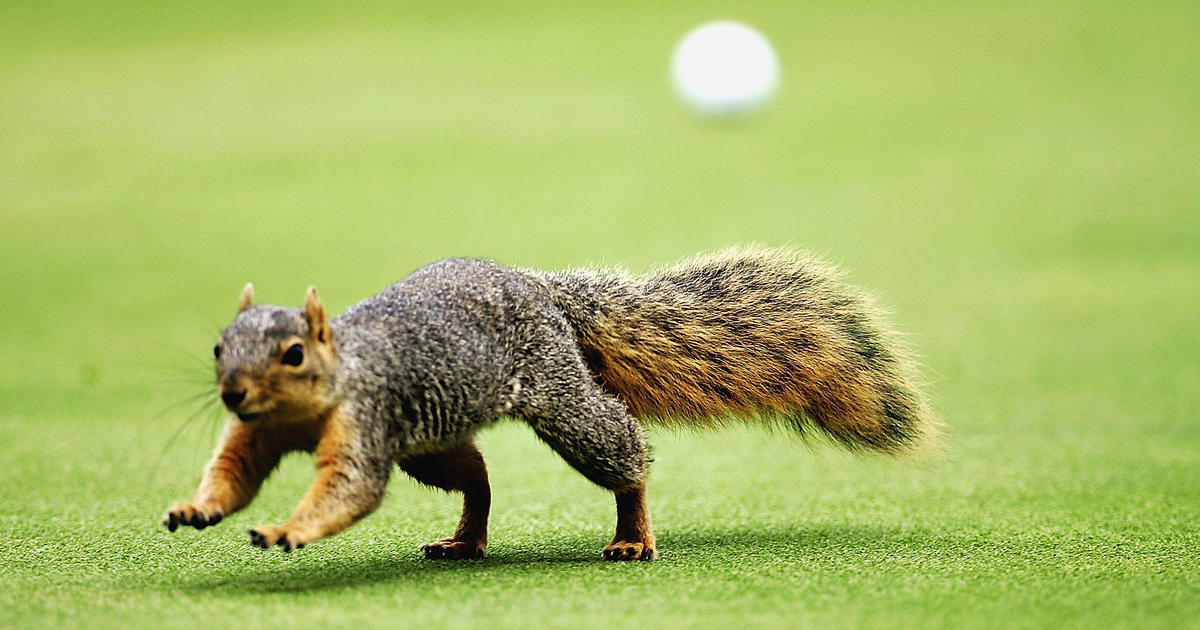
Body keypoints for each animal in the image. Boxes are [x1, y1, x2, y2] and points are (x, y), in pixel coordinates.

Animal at [162, 246, 936, 559]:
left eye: (294, 354)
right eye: (219, 347)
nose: (233, 391)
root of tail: (539, 287)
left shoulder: (369, 422)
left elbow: (348, 490)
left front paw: (288, 529)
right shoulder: (253, 434)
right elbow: (232, 476)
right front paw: (194, 509)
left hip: (561, 402)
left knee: (623, 452)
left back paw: (633, 534)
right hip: (432, 443)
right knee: (476, 480)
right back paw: (465, 539)